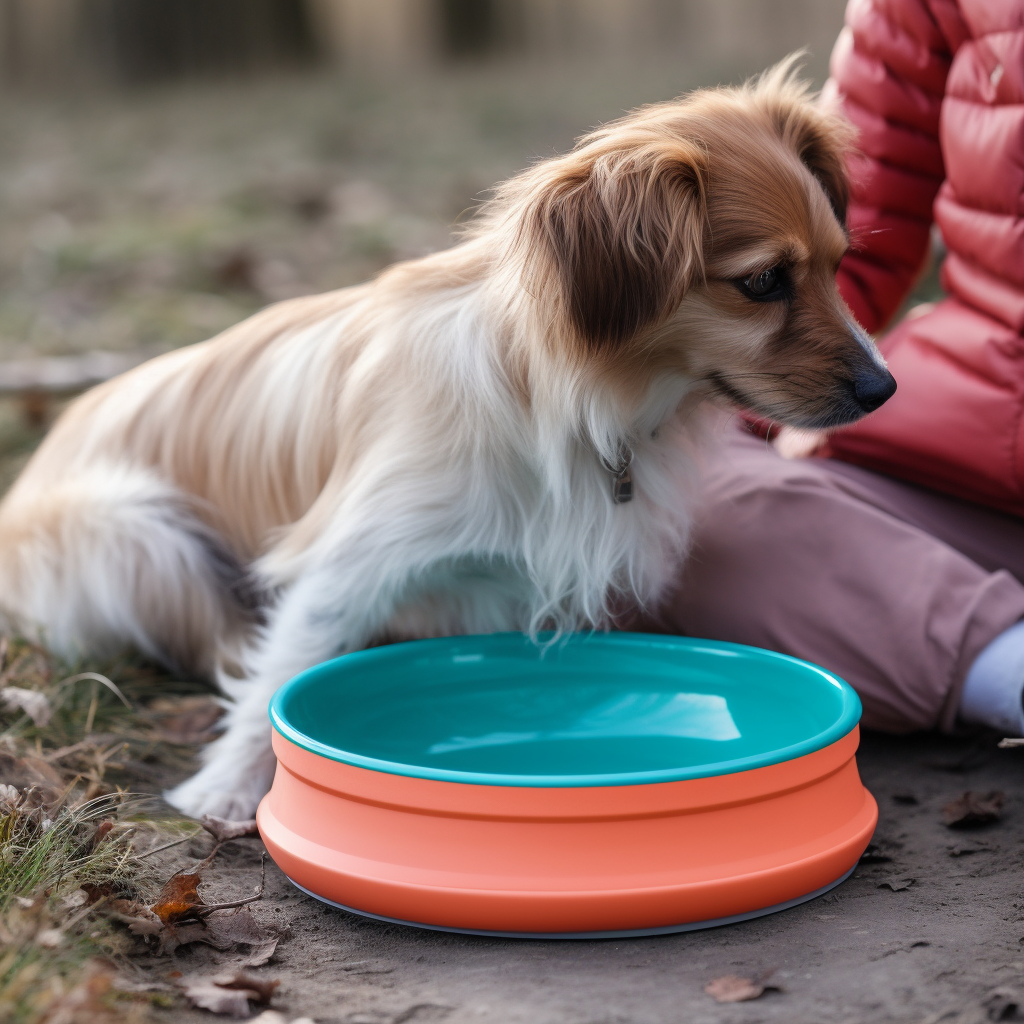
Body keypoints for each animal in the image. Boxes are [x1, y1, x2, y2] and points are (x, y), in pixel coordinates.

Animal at [0, 64, 897, 815]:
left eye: (837, 264)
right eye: (762, 282)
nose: (883, 390)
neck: (560, 396)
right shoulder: (350, 560)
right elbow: (283, 670)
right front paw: (224, 789)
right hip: (139, 533)